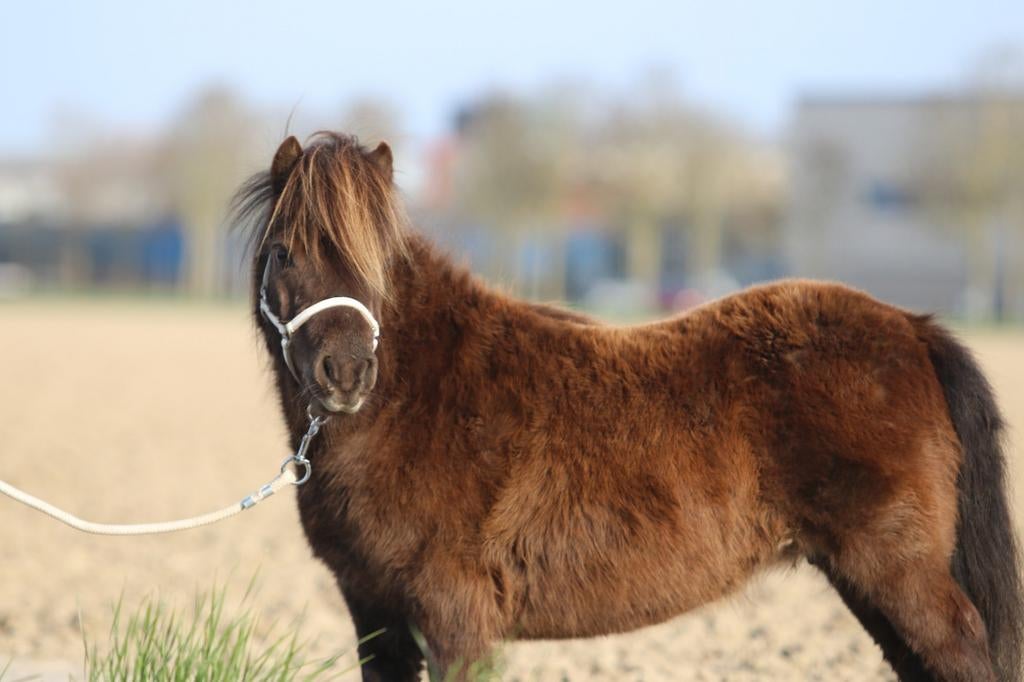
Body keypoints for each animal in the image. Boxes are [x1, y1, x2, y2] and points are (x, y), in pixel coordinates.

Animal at [233, 132, 1023, 681]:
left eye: (378, 261)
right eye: (284, 254)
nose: (344, 373)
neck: (418, 399)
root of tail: (912, 330)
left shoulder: (453, 618)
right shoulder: (377, 617)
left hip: (899, 573)